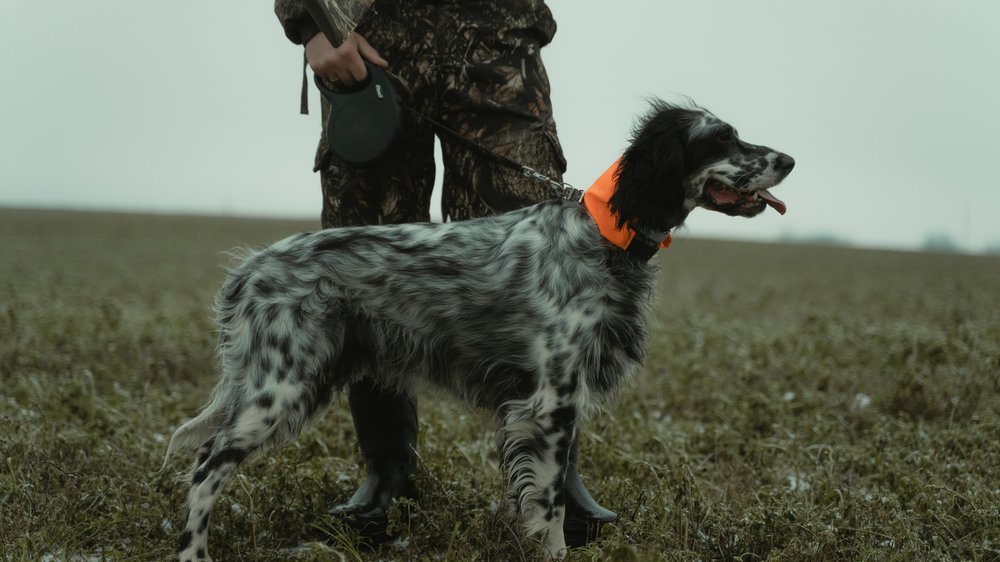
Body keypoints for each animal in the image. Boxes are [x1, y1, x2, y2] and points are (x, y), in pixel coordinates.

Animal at [166, 98, 796, 556]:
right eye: (722, 138)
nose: (789, 160)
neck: (602, 233)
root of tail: (250, 269)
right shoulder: (548, 403)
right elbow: (550, 506)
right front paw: (554, 551)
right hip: (279, 388)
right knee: (205, 468)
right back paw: (194, 552)